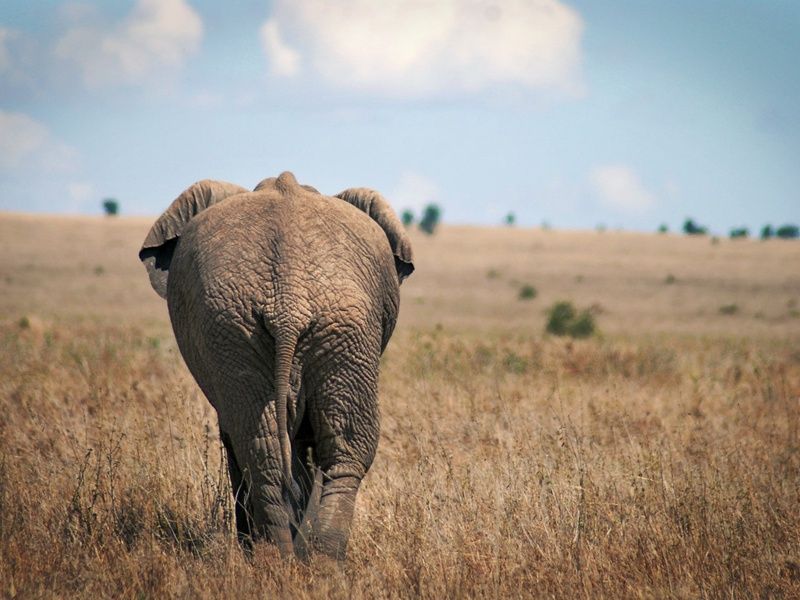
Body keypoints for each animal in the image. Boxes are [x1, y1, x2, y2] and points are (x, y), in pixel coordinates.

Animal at [139, 171, 412, 560]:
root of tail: (289, 301)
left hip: (303, 328)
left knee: (280, 446)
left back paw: (292, 559)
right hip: (260, 329)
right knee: (301, 448)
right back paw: (302, 560)